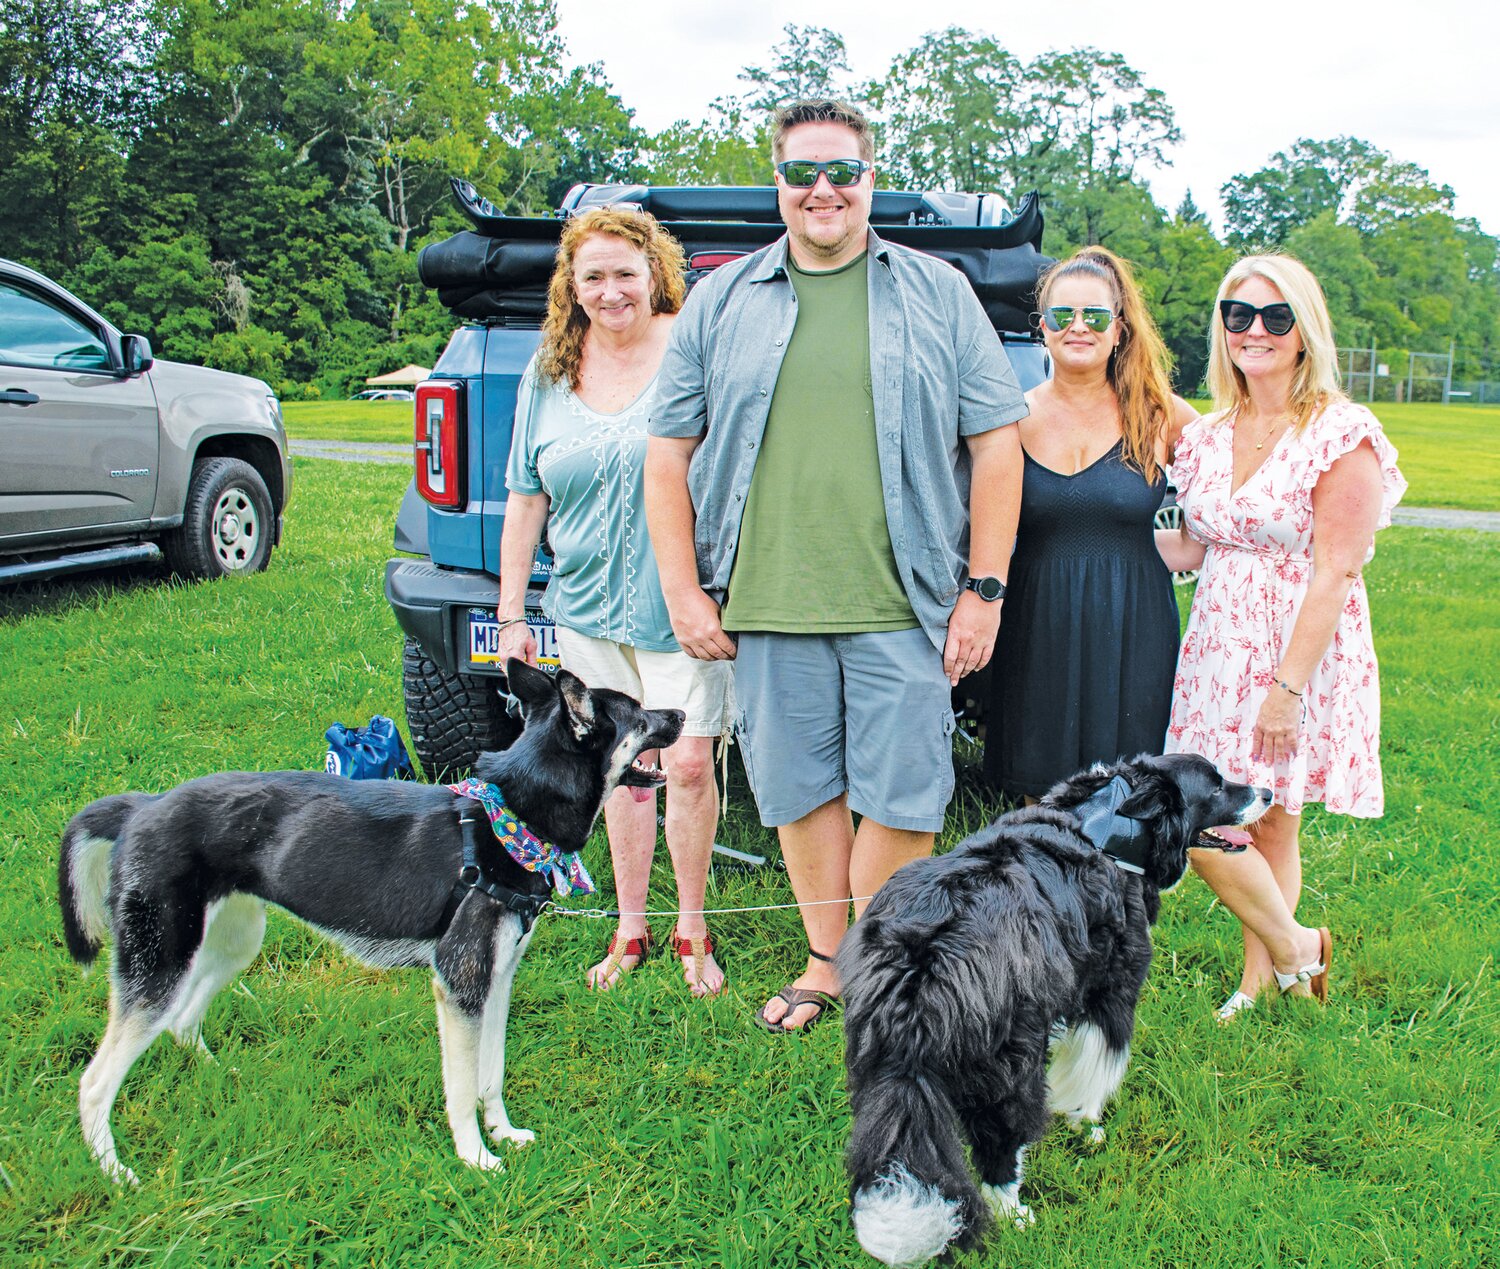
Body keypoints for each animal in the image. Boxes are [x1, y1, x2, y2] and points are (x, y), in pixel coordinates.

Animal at [61, 660, 684, 1188]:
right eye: (638, 714)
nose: (680, 714)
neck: (510, 819)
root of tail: (144, 806)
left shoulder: (496, 983)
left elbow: (492, 1074)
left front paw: (503, 1133)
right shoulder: (459, 988)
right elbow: (462, 1089)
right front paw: (476, 1158)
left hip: (230, 944)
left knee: (183, 1022)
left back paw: (220, 1078)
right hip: (160, 967)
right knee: (94, 1084)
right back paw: (116, 1175)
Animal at [840, 750, 1272, 1266]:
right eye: (1217, 786)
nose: (1269, 793)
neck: (1109, 819)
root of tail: (921, 969)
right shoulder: (1112, 988)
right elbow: (1096, 1067)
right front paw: (1087, 1124)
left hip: (876, 1059)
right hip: (1014, 1063)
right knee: (1001, 1140)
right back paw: (1014, 1212)